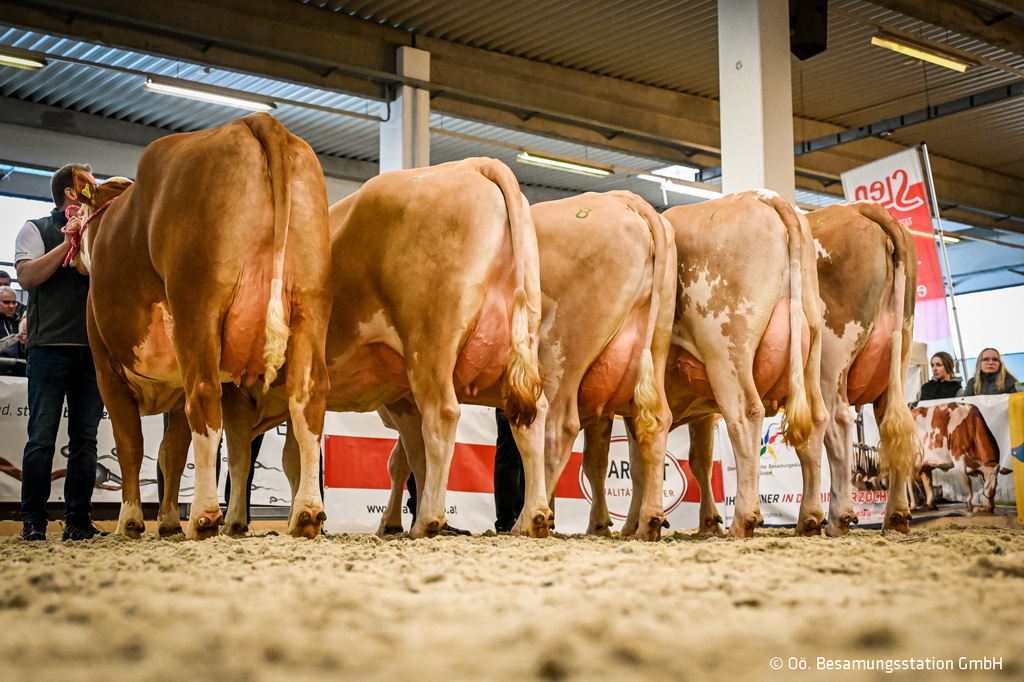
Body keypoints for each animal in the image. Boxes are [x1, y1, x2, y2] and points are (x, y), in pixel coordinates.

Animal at [76, 114, 331, 540]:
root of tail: (255, 119)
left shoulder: (105, 368)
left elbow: (132, 444)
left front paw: (131, 521)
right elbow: (171, 451)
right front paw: (165, 522)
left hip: (197, 305)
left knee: (206, 397)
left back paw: (205, 516)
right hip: (311, 305)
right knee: (306, 400)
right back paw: (305, 514)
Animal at [378, 188, 679, 540]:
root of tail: (628, 200)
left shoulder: (406, 393)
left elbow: (405, 458)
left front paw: (393, 522)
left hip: (564, 347)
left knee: (557, 429)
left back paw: (528, 521)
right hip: (654, 346)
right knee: (655, 424)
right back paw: (646, 522)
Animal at [585, 187, 831, 536]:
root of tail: (764, 196)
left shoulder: (604, 401)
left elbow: (599, 461)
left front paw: (604, 525)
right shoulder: (671, 409)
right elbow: (670, 461)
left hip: (726, 351)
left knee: (746, 415)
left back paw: (743, 519)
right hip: (810, 348)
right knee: (816, 420)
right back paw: (809, 519)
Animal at [806, 199, 921, 532]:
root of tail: (859, 207)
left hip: (829, 360)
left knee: (837, 421)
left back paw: (836, 517)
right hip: (900, 351)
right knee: (892, 424)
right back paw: (896, 516)